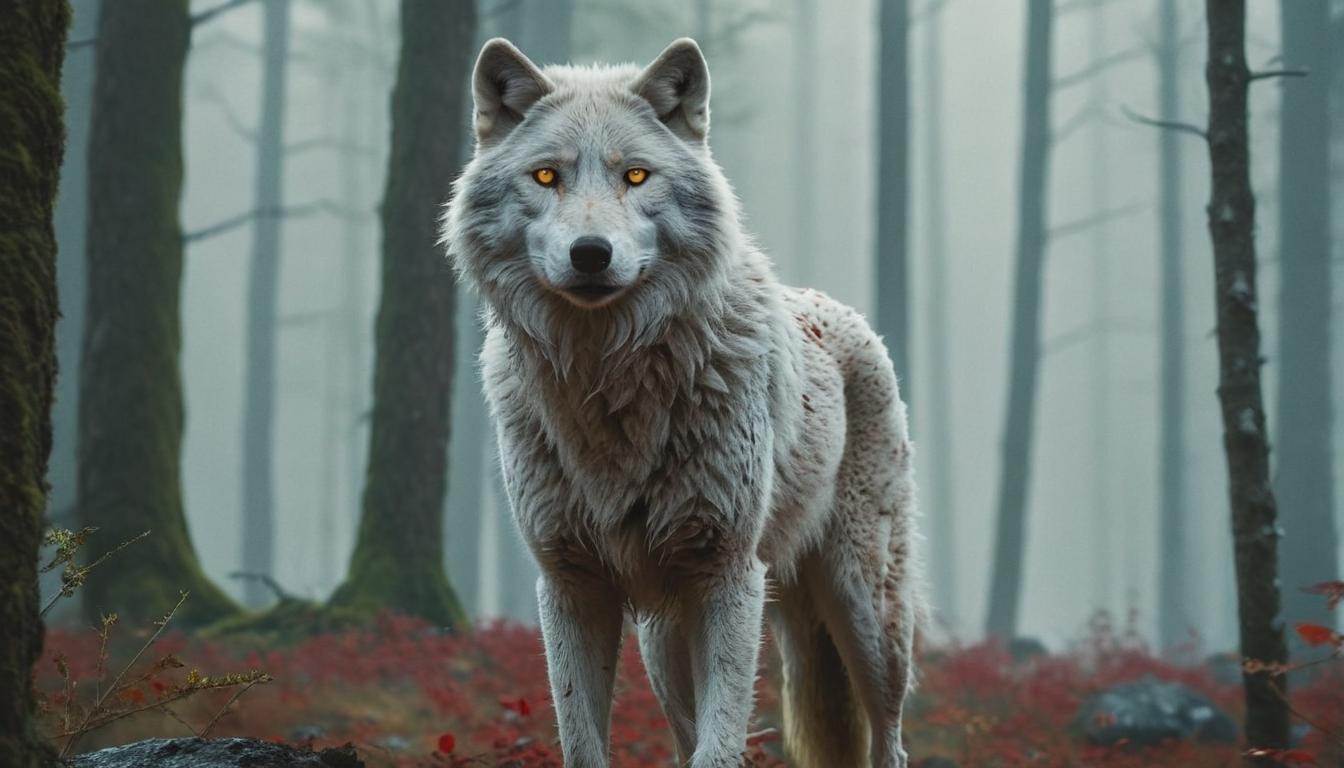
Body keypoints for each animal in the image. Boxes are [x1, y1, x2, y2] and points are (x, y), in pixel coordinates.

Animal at [444, 36, 921, 768]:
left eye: (636, 176)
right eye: (547, 177)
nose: (590, 254)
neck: (607, 383)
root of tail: (841, 309)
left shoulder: (728, 576)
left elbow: (720, 748)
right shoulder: (571, 585)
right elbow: (584, 741)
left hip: (864, 613)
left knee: (889, 738)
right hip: (665, 641)